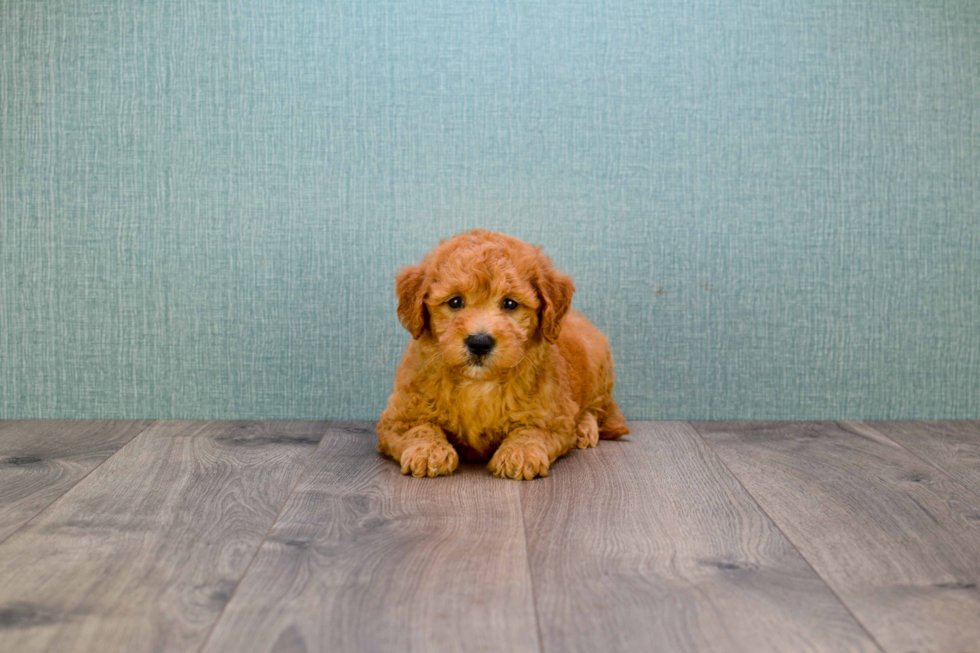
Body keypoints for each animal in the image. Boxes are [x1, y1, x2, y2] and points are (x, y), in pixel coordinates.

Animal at [376, 229, 628, 478]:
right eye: (455, 301)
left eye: (510, 304)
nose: (479, 342)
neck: (478, 383)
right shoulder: (399, 417)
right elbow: (418, 427)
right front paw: (428, 451)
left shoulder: (552, 418)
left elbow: (531, 431)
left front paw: (519, 454)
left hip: (599, 368)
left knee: (597, 409)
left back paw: (584, 428)